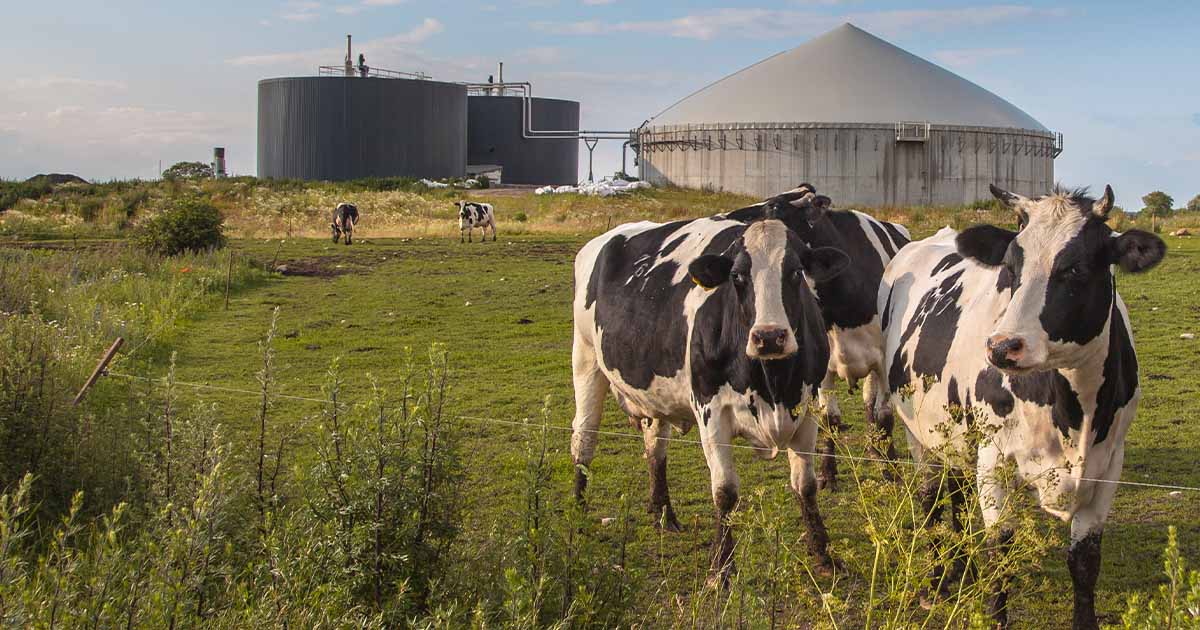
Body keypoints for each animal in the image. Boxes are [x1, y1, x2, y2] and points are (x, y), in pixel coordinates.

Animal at [570, 192, 850, 583]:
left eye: (796, 272)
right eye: (737, 276)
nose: (769, 337)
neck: (772, 383)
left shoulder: (805, 409)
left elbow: (806, 486)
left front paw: (823, 554)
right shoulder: (711, 412)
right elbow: (725, 492)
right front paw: (722, 567)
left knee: (655, 448)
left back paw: (663, 514)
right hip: (585, 360)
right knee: (583, 438)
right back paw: (579, 511)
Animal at [878, 184, 1165, 629]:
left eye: (1076, 269)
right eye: (1010, 268)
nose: (1002, 347)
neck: (1073, 413)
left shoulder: (1109, 465)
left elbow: (1085, 561)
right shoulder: (994, 459)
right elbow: (1001, 553)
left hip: (956, 431)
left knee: (956, 492)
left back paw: (961, 568)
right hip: (918, 432)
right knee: (930, 499)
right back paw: (938, 580)